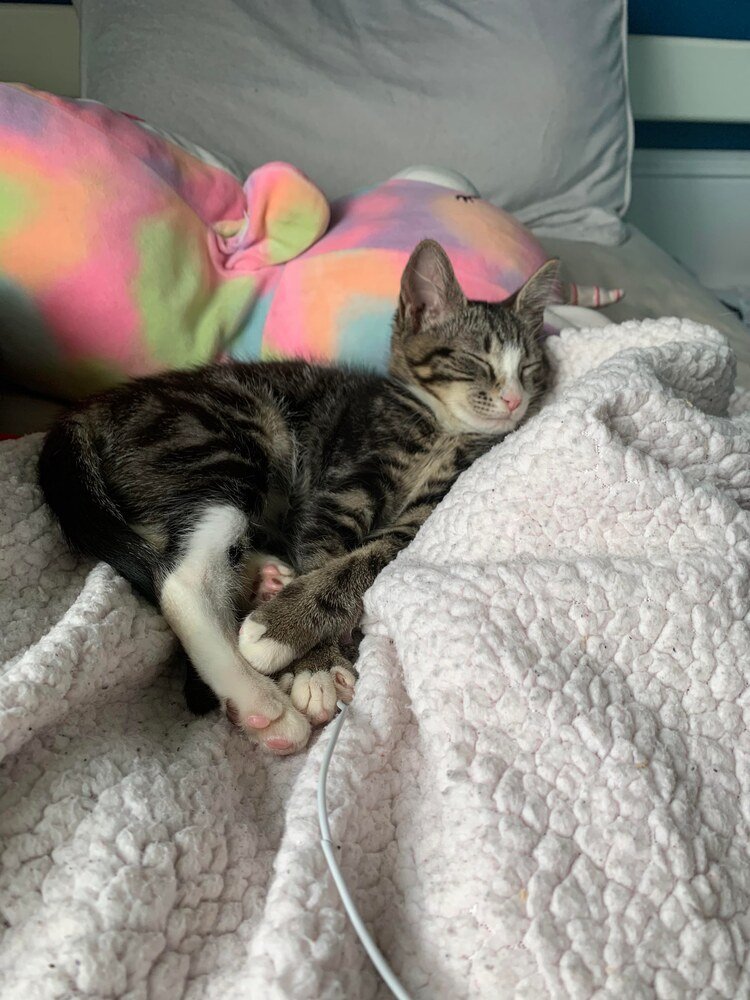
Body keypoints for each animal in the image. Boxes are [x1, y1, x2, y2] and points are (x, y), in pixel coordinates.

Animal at [38, 239, 557, 755]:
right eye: (476, 360)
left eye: (530, 368)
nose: (514, 400)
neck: (441, 428)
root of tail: (94, 407)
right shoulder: (344, 481)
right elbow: (327, 556)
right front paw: (308, 657)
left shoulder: (430, 504)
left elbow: (367, 556)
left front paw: (296, 636)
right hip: (231, 440)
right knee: (182, 579)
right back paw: (261, 702)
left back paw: (265, 582)